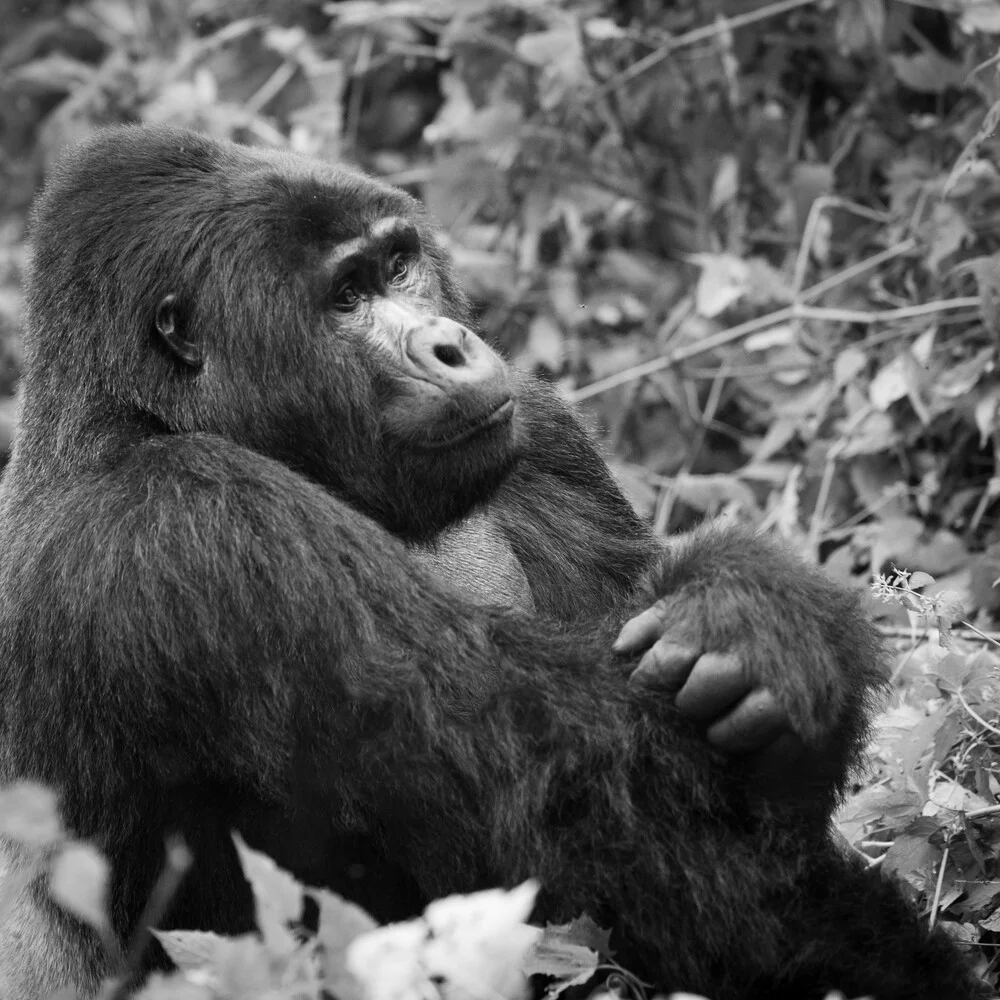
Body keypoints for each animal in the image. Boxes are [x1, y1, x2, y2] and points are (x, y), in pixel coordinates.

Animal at [0, 127, 984, 1000]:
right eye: (346, 295)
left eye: (398, 265)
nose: (450, 343)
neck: (139, 413)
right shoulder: (193, 522)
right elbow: (619, 842)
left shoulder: (539, 427)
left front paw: (757, 612)